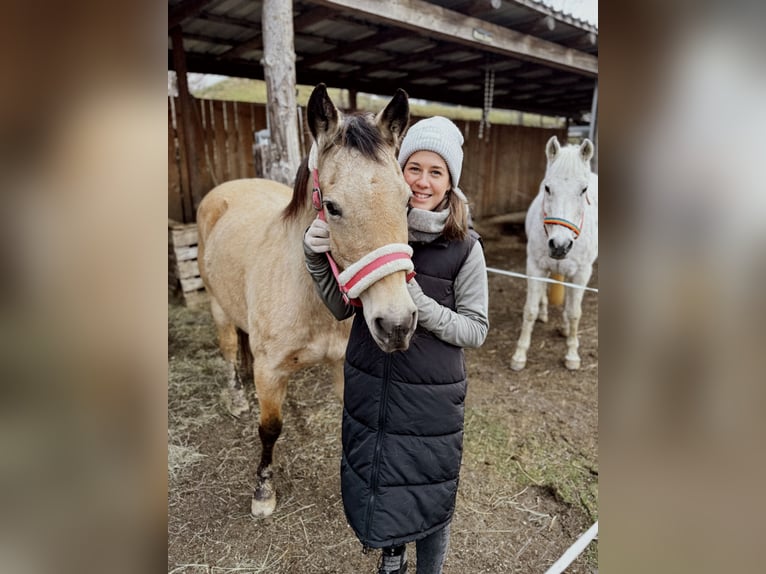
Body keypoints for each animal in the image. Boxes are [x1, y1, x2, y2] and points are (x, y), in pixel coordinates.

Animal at [516, 138, 600, 374]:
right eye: (547, 187)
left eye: (583, 190)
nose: (560, 246)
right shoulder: (535, 266)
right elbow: (530, 310)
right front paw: (520, 355)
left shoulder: (582, 274)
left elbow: (574, 313)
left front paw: (572, 354)